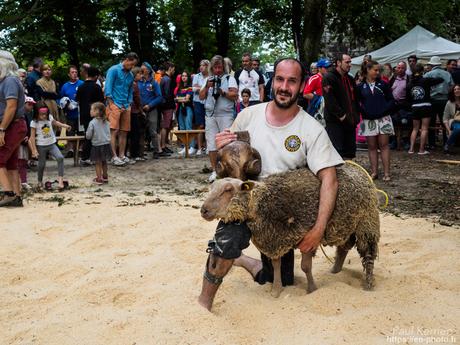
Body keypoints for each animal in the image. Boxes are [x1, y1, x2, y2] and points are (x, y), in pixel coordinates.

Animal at [201, 164, 380, 296]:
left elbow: (305, 267)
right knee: (344, 247)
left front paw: (312, 290)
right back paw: (335, 271)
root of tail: (358, 170)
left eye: (228, 189)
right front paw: (276, 290)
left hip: (367, 223)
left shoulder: (309, 236)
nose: (204, 210)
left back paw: (369, 284)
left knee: (368, 255)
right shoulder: (274, 238)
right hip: (346, 226)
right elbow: (276, 266)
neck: (263, 202)